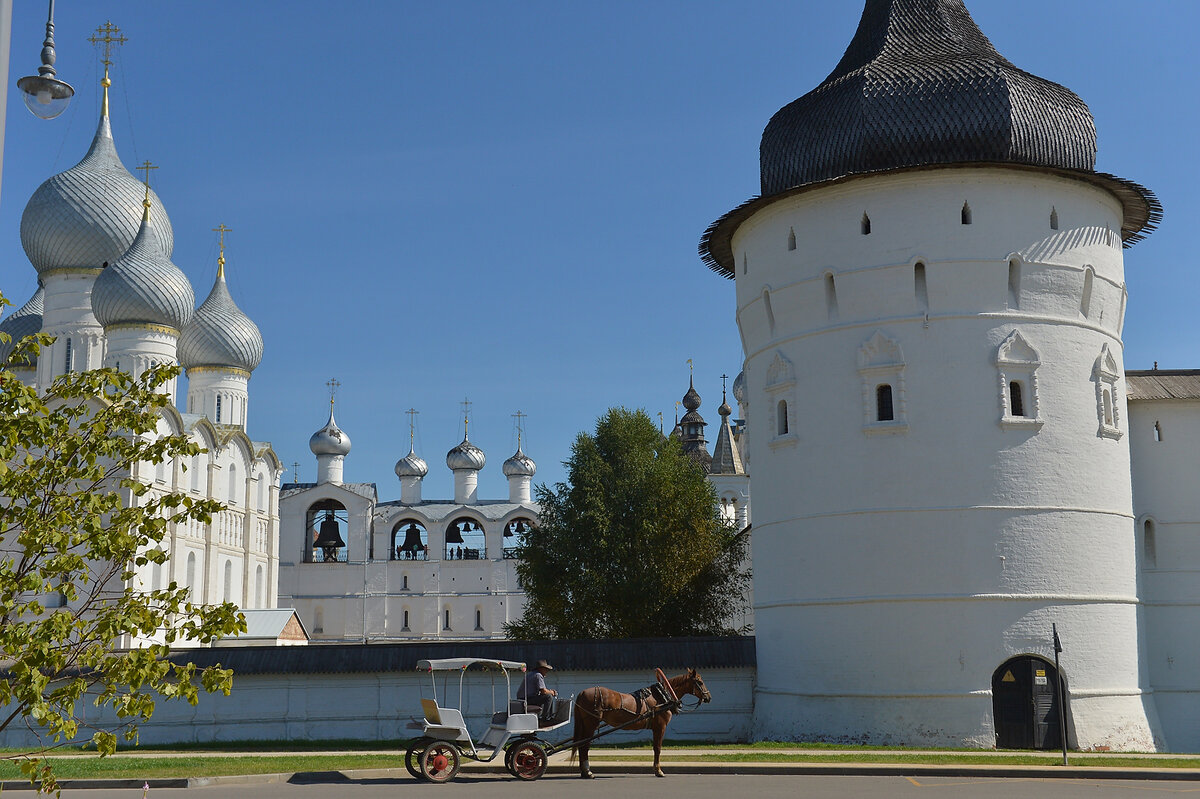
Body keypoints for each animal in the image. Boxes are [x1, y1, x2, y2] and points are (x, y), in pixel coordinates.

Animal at [571, 667, 710, 777]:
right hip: (590, 725)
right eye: (700, 682)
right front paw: (658, 771)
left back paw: (584, 771)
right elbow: (657, 748)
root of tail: (582, 693)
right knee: (584, 746)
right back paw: (588, 772)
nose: (708, 697)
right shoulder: (660, 727)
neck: (662, 696)